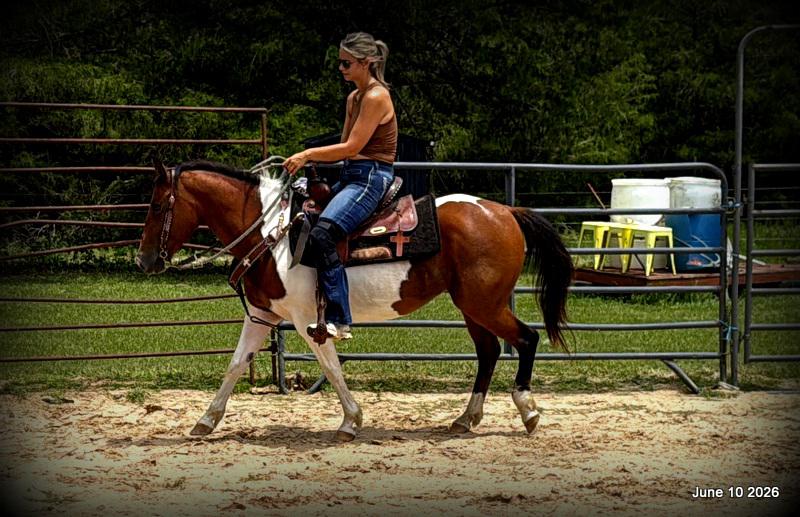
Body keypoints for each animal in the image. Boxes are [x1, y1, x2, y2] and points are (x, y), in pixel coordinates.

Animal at [136, 159, 572, 441]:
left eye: (156, 205)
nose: (144, 260)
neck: (272, 235)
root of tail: (505, 211)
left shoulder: (307, 320)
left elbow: (331, 368)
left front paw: (351, 421)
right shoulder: (261, 315)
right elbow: (234, 365)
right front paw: (205, 422)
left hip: (485, 304)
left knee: (526, 339)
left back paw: (528, 411)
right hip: (472, 307)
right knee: (488, 352)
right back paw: (467, 418)